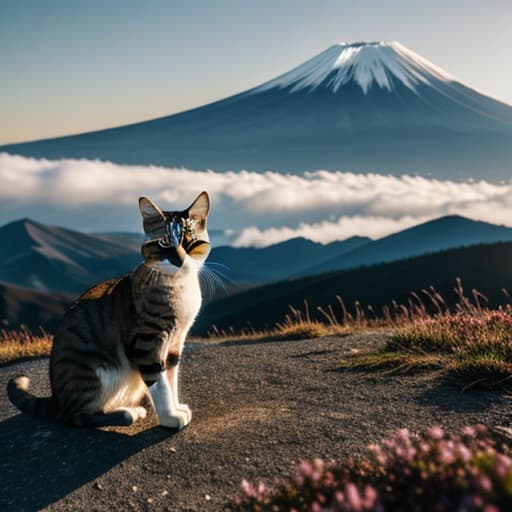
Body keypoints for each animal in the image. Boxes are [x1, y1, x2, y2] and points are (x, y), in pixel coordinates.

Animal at [6, 192, 210, 428]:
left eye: (189, 241)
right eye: (163, 243)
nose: (180, 260)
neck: (179, 287)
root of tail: (57, 399)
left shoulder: (176, 343)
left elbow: (171, 380)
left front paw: (177, 407)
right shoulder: (146, 344)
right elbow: (159, 384)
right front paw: (169, 417)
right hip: (91, 373)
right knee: (78, 415)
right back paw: (128, 413)